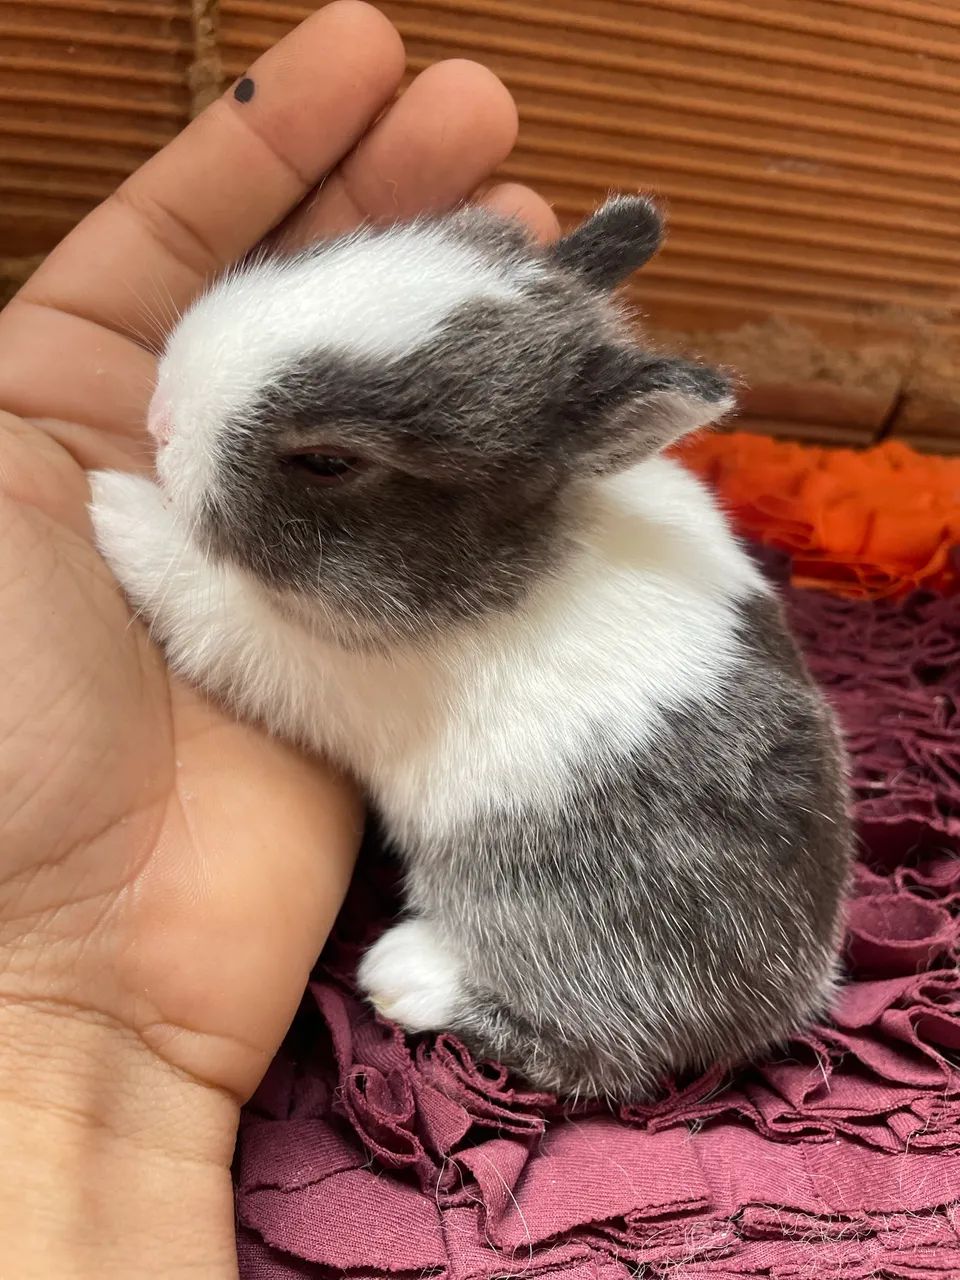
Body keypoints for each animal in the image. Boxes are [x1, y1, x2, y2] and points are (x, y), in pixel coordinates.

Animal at [88, 196, 853, 1103]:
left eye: (328, 461)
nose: (161, 418)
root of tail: (786, 999)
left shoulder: (300, 655)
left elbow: (198, 595)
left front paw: (112, 503)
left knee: (596, 1052)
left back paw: (405, 974)